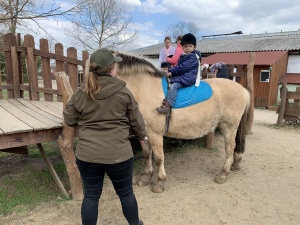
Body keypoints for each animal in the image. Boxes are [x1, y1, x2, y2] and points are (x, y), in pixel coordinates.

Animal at [115, 51, 251, 192]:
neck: (144, 90)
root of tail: (243, 90)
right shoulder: (143, 134)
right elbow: (147, 155)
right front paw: (145, 178)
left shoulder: (155, 134)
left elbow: (159, 158)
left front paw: (160, 182)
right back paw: (235, 164)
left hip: (228, 126)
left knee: (230, 147)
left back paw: (223, 174)